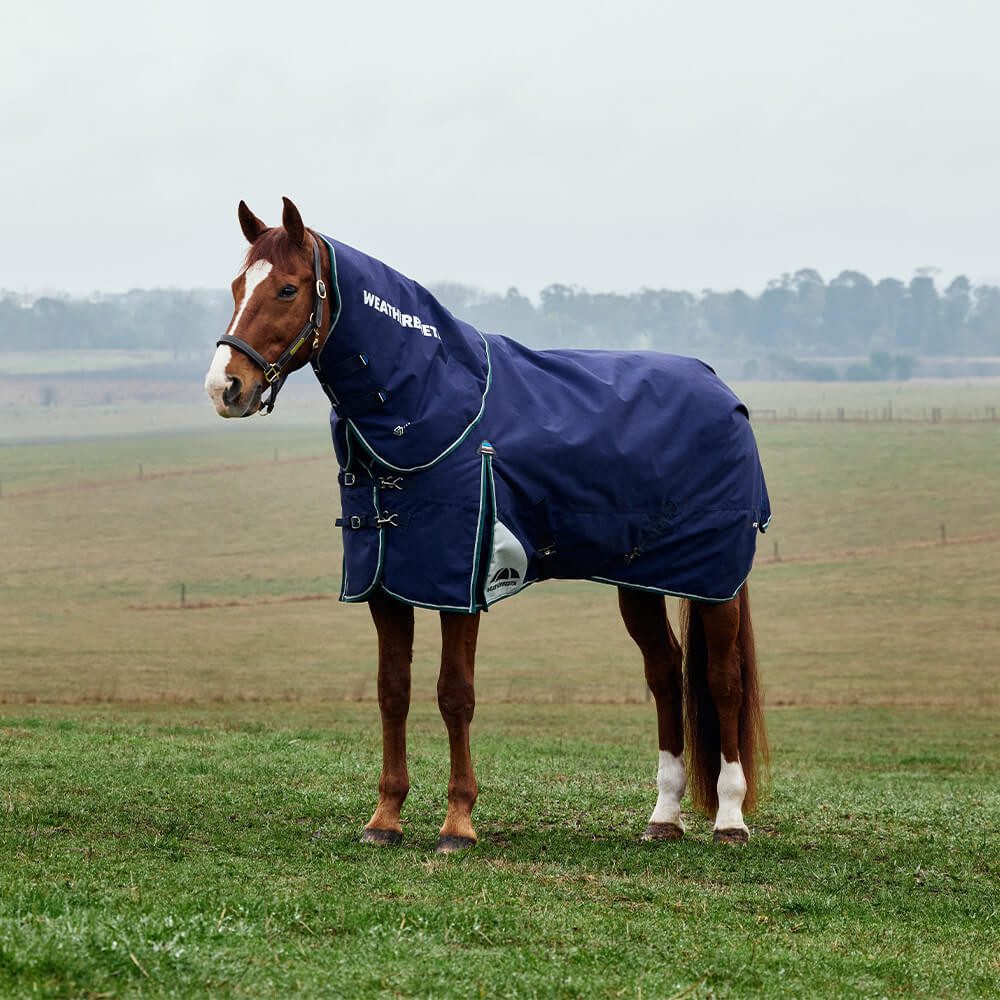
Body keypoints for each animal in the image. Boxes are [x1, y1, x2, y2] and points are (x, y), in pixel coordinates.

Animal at [205, 197, 770, 852]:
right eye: (237, 286)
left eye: (289, 288)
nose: (225, 387)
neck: (434, 403)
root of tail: (722, 390)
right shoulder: (386, 585)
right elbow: (392, 692)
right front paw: (385, 819)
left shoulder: (459, 585)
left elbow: (455, 695)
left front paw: (458, 824)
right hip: (640, 582)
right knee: (665, 674)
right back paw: (665, 815)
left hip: (715, 584)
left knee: (723, 679)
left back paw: (729, 819)